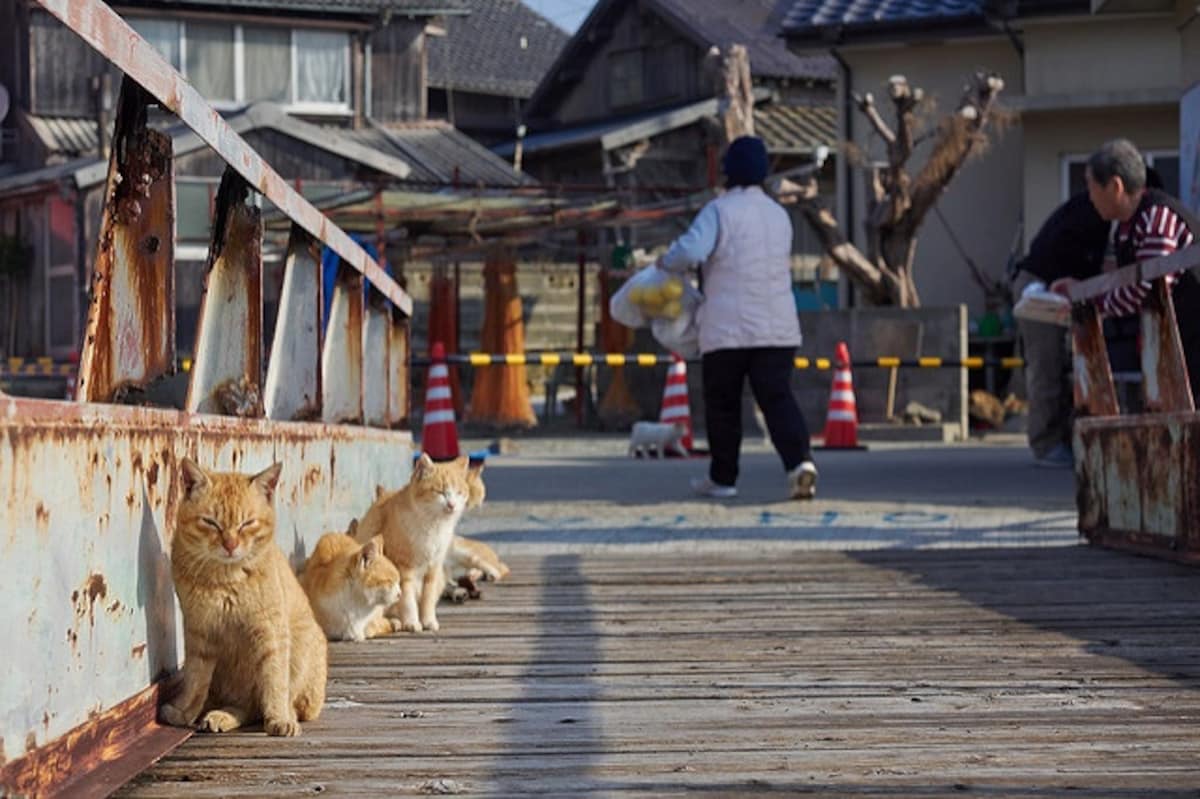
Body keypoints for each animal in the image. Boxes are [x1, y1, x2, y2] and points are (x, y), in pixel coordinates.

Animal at [162, 453, 328, 734]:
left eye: (247, 523)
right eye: (211, 522)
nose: (230, 544)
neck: (224, 580)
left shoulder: (270, 632)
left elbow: (274, 682)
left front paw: (280, 719)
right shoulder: (200, 633)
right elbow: (195, 679)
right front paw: (185, 711)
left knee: (265, 704)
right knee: (246, 707)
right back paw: (218, 716)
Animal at [350, 453, 468, 628]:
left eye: (459, 492)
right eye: (440, 492)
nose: (451, 505)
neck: (433, 526)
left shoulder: (433, 568)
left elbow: (428, 598)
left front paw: (428, 621)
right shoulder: (404, 568)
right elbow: (407, 599)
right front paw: (412, 622)